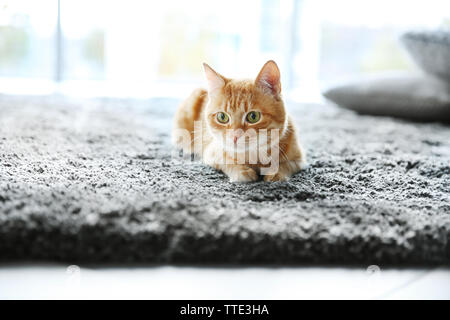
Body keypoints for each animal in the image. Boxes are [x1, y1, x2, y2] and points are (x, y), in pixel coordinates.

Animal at [172, 60, 306, 182]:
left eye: (253, 116)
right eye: (222, 117)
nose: (235, 136)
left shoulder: (298, 160)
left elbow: (285, 165)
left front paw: (275, 173)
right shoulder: (212, 153)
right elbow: (227, 160)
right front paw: (242, 171)